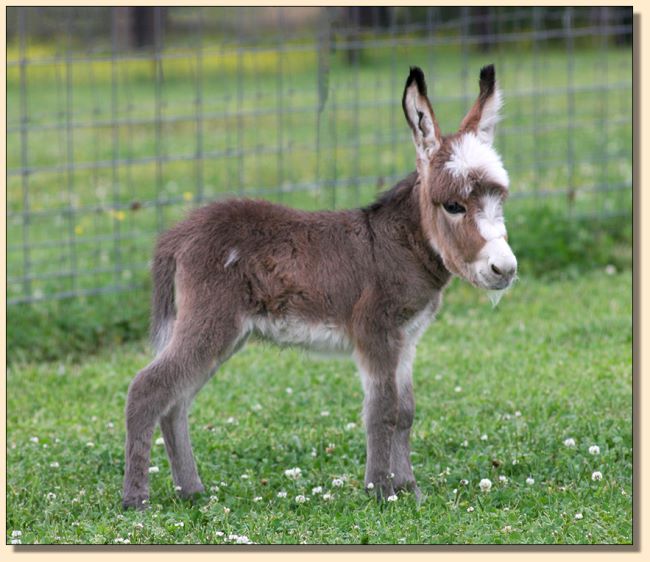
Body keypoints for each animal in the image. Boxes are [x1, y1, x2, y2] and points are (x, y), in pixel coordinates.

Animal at [121, 63, 516, 506]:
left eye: (499, 199)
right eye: (453, 206)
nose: (505, 269)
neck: (400, 245)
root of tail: (179, 233)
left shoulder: (407, 338)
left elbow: (406, 412)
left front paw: (408, 489)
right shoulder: (376, 334)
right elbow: (383, 411)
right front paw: (380, 491)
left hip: (225, 335)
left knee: (175, 403)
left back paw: (191, 491)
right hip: (210, 322)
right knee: (147, 389)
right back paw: (135, 499)